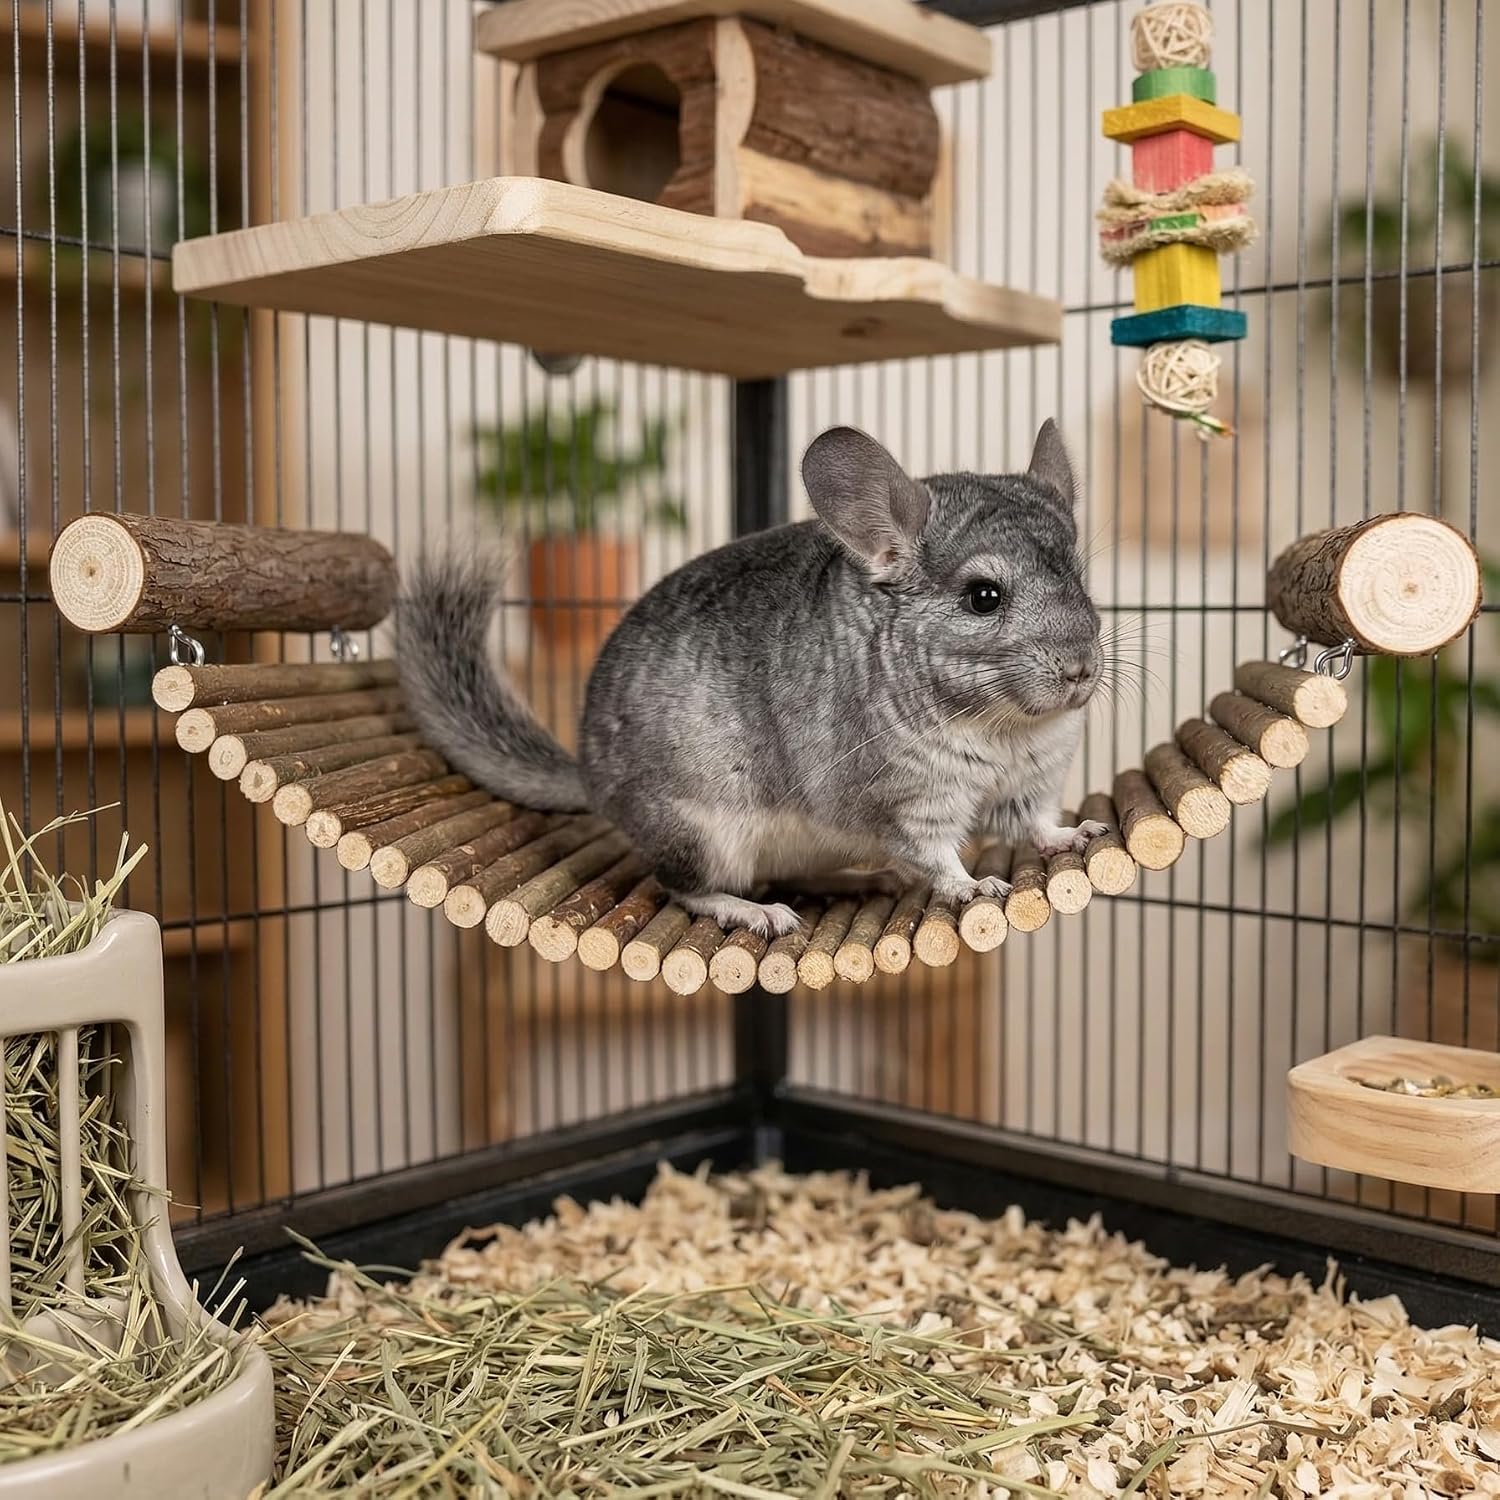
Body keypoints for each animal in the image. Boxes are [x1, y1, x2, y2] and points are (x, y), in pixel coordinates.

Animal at [399, 420, 1105, 938]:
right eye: (984, 596)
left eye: (1080, 578)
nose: (1082, 670)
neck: (999, 727)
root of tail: (589, 778)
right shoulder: (908, 798)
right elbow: (937, 856)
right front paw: (976, 884)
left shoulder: (1034, 781)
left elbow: (1036, 825)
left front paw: (1080, 834)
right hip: (699, 833)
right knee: (681, 887)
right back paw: (758, 914)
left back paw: (859, 881)